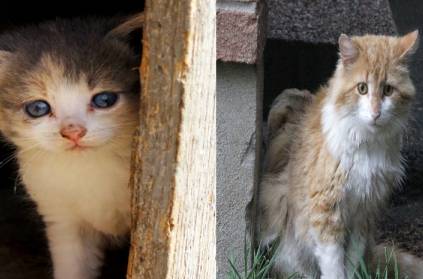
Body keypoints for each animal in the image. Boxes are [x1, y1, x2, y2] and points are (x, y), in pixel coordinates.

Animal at [256, 31, 423, 279]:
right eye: (362, 88)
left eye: (388, 90)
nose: (375, 113)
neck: (367, 144)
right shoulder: (326, 210)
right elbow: (333, 264)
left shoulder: (363, 214)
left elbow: (351, 261)